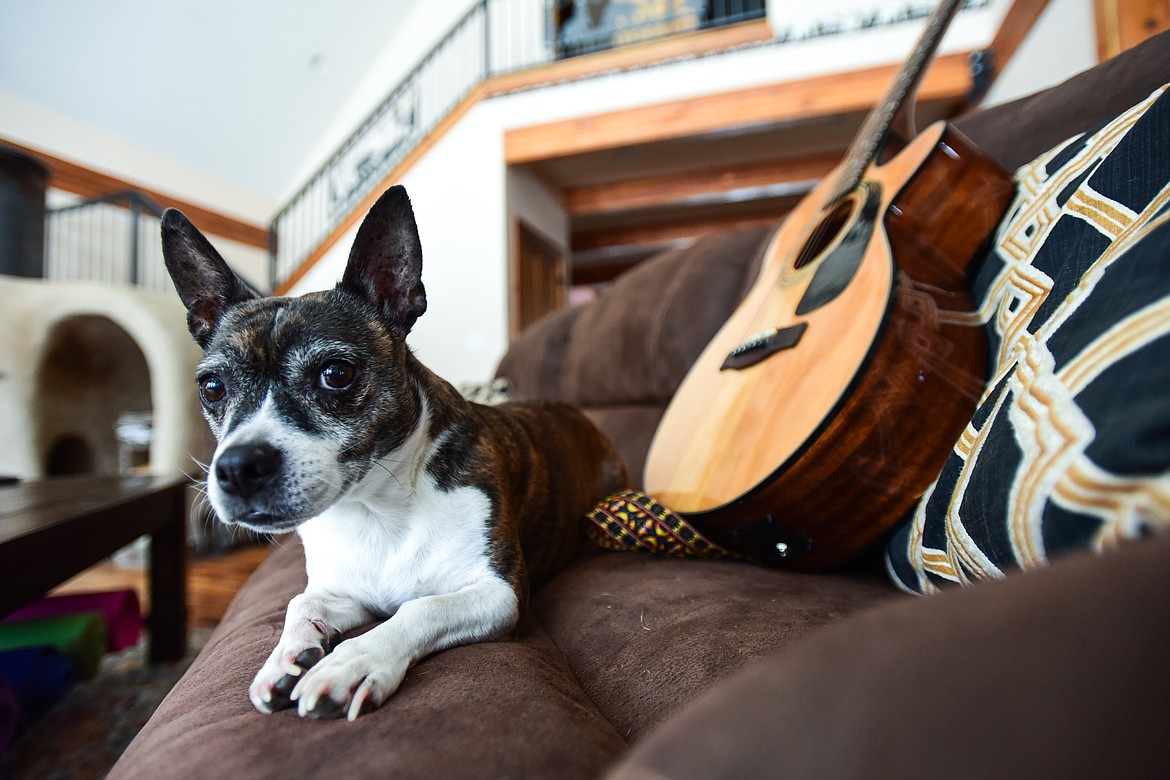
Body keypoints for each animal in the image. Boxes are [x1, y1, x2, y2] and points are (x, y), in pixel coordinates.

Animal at [162, 185, 631, 725]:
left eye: (336, 374)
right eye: (212, 387)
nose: (238, 467)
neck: (375, 507)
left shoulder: (499, 593)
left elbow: (420, 608)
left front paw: (353, 662)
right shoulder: (346, 593)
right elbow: (301, 604)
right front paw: (285, 658)